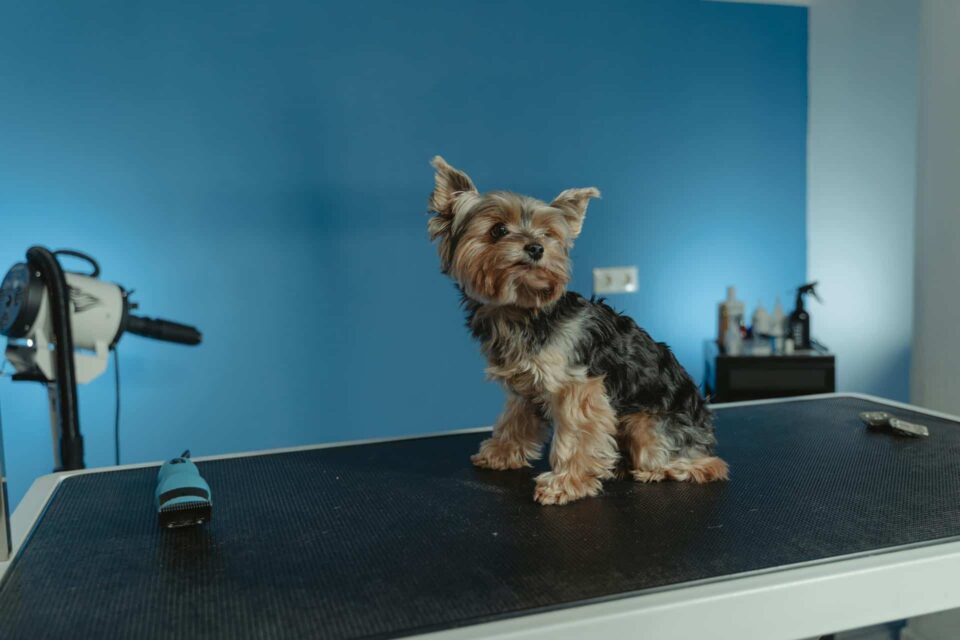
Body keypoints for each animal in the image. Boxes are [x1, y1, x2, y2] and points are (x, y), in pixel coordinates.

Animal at [428, 156, 728, 504]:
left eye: (548, 234)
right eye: (498, 230)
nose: (536, 248)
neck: (522, 311)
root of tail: (706, 423)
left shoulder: (578, 388)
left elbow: (576, 436)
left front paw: (566, 482)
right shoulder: (526, 386)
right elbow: (514, 419)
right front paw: (501, 453)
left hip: (645, 424)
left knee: (706, 464)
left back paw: (658, 470)